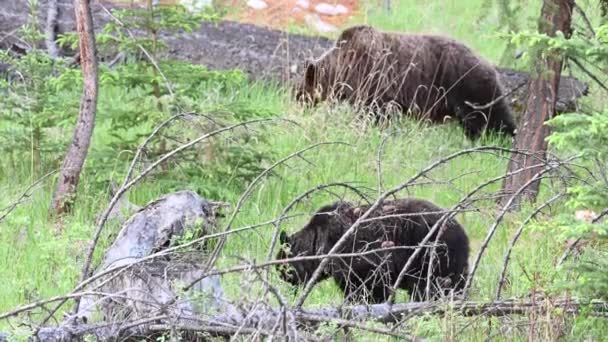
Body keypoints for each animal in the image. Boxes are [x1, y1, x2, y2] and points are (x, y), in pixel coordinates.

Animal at [276, 198, 470, 304]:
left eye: (282, 268)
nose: (283, 278)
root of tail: (463, 233)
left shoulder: (359, 257)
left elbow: (369, 287)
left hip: (433, 255)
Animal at [296, 24, 516, 139]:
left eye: (299, 91)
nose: (298, 103)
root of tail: (488, 63)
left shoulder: (375, 81)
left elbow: (375, 113)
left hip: (468, 86)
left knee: (492, 117)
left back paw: (507, 137)